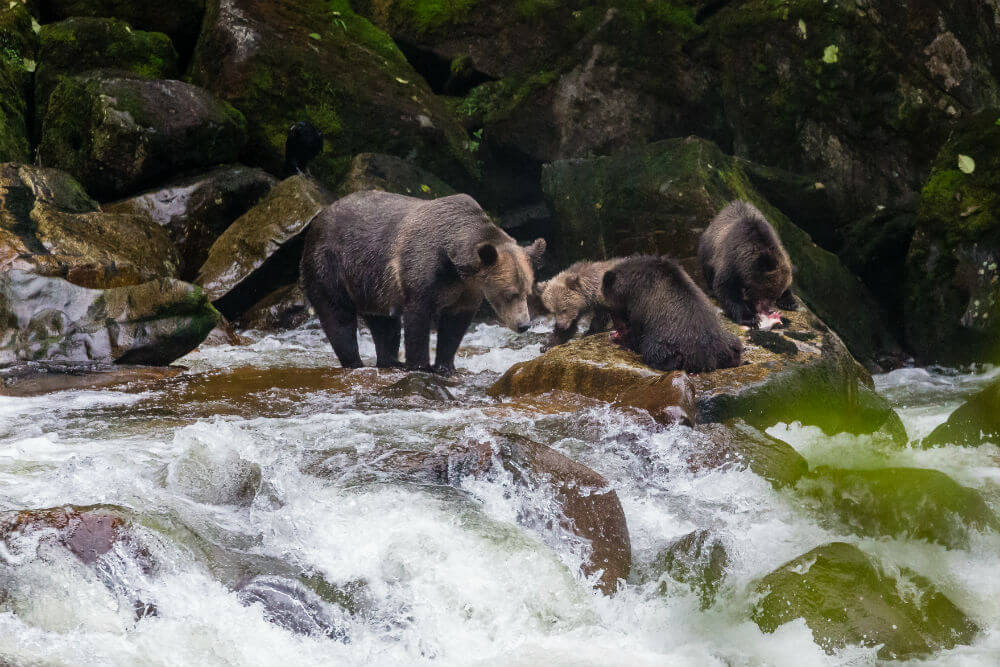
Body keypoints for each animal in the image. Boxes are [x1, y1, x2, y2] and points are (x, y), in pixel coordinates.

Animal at [301, 190, 545, 373]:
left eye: (527, 292)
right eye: (510, 293)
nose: (524, 325)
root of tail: (318, 219)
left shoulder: (466, 290)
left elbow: (455, 326)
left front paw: (446, 366)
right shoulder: (422, 271)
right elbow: (418, 318)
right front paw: (420, 365)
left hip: (372, 285)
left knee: (384, 323)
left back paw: (390, 361)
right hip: (332, 265)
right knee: (338, 316)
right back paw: (356, 362)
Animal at [600, 255, 743, 373]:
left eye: (611, 310)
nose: (613, 328)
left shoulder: (641, 305)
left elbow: (636, 333)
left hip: (673, 345)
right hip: (726, 341)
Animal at [698, 200, 795, 330]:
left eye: (775, 295)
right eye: (768, 292)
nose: (766, 310)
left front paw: (789, 301)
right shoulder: (730, 262)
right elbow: (727, 290)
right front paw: (750, 318)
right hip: (707, 251)